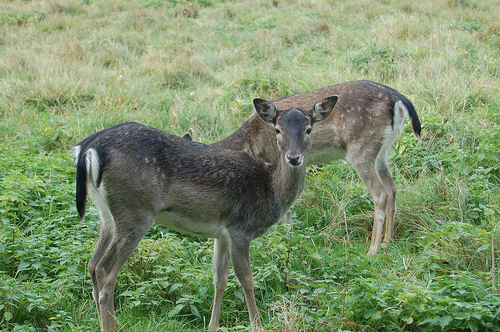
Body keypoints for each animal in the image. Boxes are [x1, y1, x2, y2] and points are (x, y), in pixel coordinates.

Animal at [72, 95, 338, 330]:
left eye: (309, 129)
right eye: (278, 130)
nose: (294, 158)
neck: (270, 190)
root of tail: (87, 148)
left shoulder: (222, 233)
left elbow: (219, 278)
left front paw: (212, 325)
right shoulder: (241, 229)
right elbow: (247, 280)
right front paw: (257, 325)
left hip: (107, 215)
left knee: (92, 264)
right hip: (135, 211)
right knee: (105, 271)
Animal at [211, 80, 422, 254]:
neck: (249, 142)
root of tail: (399, 100)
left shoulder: (274, 160)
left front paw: (282, 237)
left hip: (362, 147)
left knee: (381, 193)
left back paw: (372, 250)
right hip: (383, 150)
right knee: (392, 187)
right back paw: (388, 241)